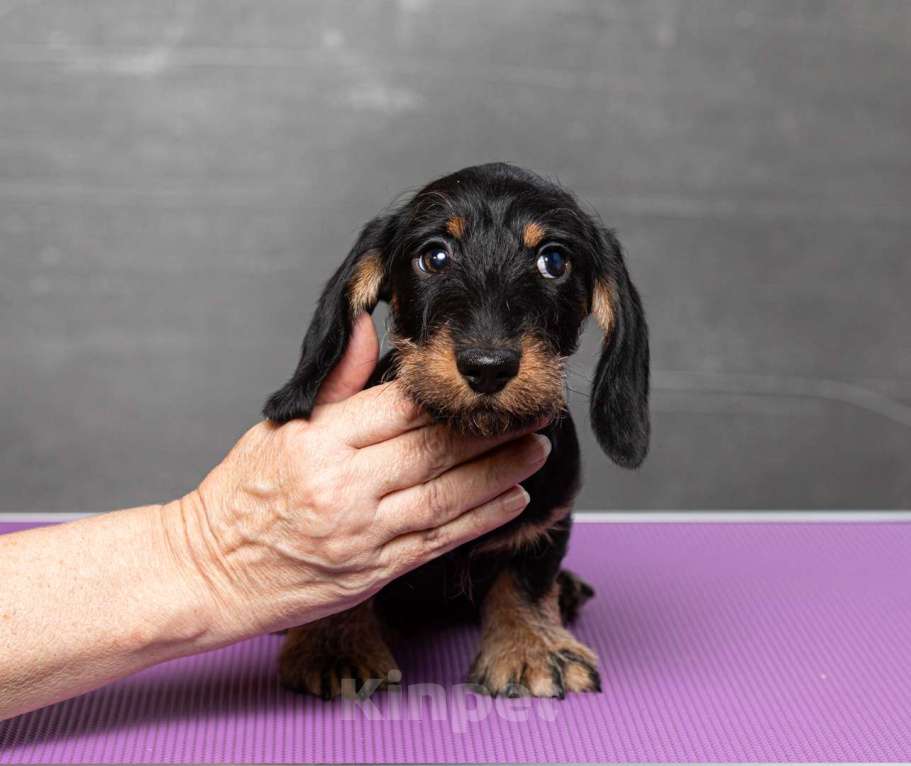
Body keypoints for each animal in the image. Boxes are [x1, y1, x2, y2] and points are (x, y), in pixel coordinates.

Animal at [264, 164, 648, 704]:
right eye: (435, 256)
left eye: (554, 261)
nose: (488, 367)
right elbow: (347, 578)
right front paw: (334, 643)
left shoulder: (547, 515)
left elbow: (526, 575)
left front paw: (531, 647)